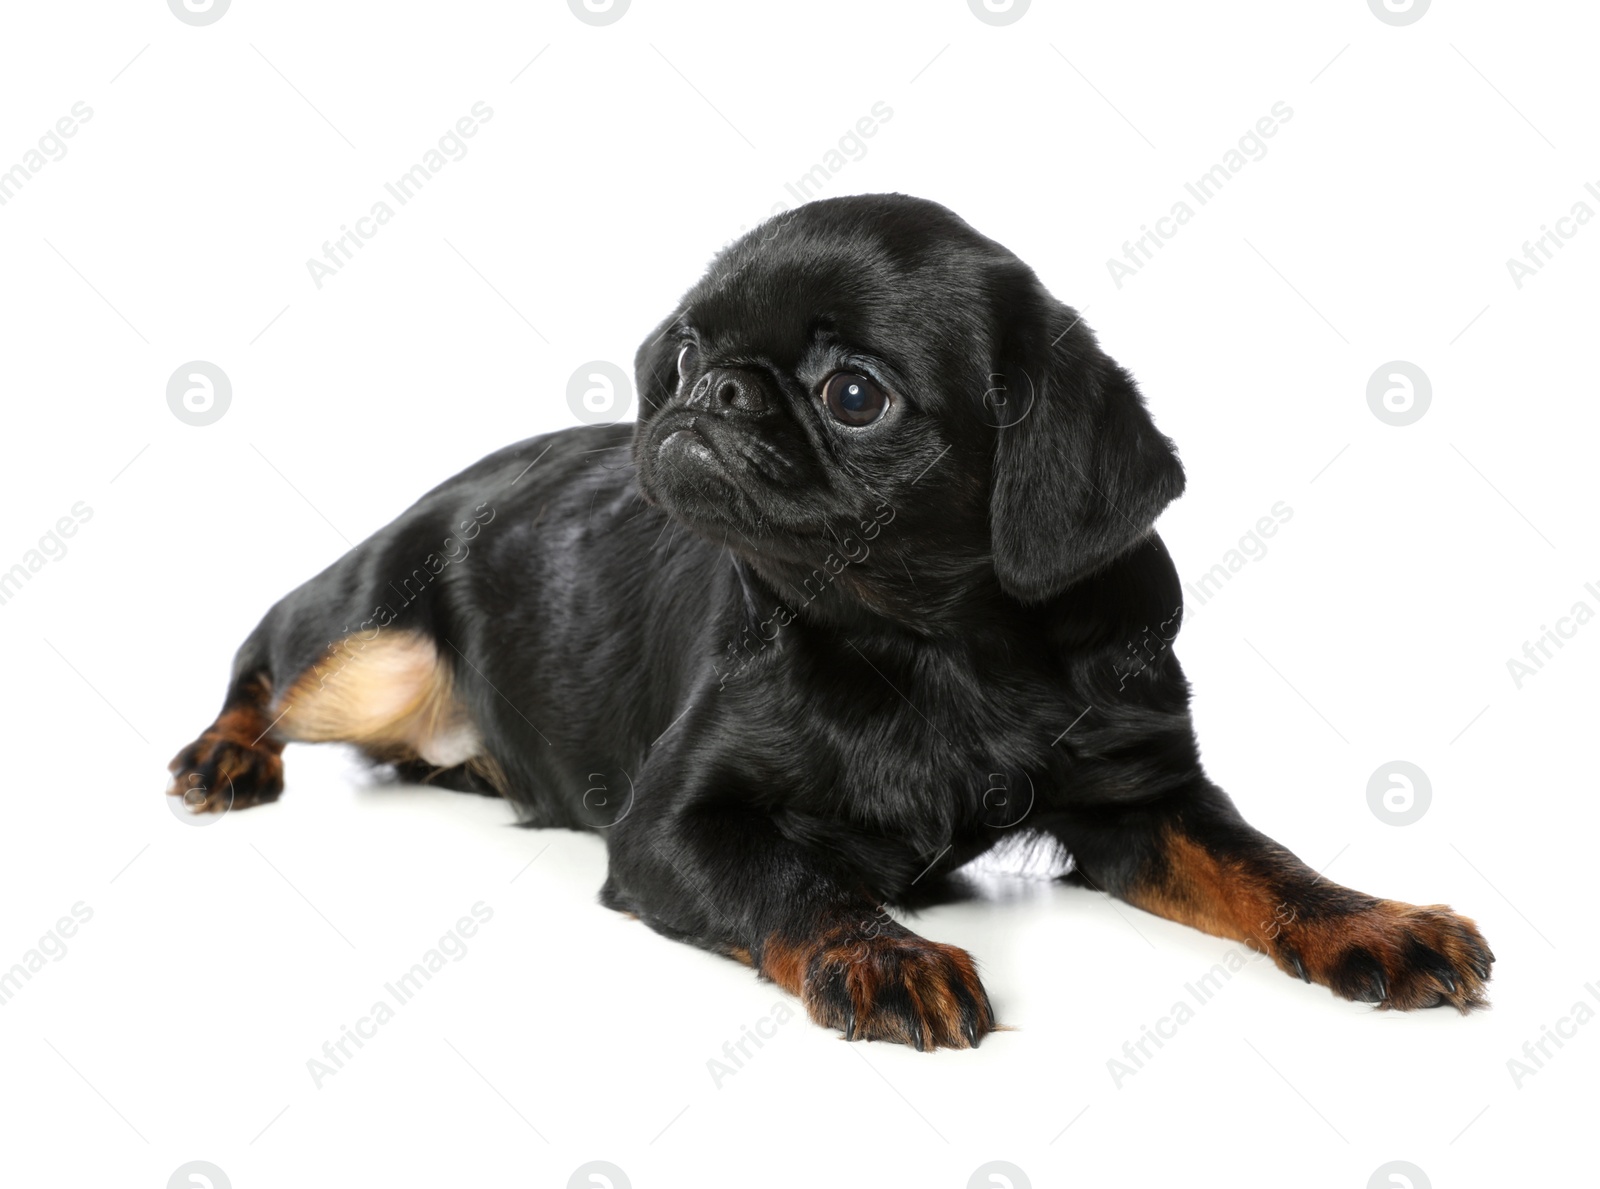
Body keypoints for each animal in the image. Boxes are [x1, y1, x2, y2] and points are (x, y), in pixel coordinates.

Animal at [172, 192, 1484, 1049]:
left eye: (854, 394)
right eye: (684, 351)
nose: (710, 386)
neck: (930, 647)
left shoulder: (1143, 800)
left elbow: (1266, 863)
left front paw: (1373, 922)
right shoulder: (675, 825)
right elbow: (795, 884)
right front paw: (880, 950)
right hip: (365, 643)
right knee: (260, 661)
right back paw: (225, 756)